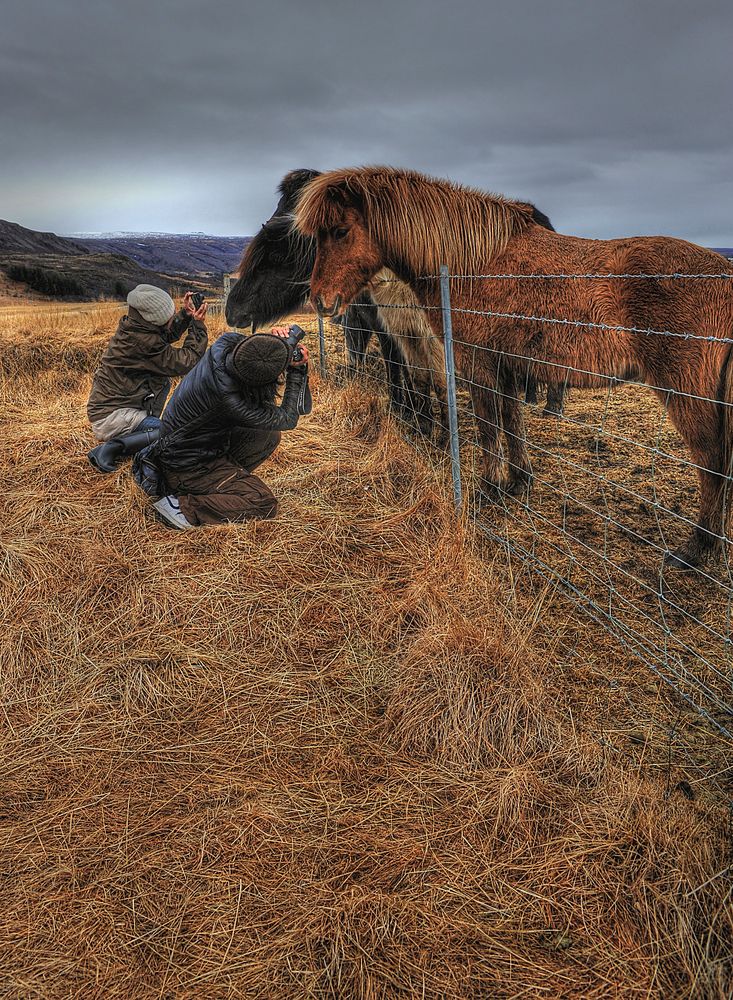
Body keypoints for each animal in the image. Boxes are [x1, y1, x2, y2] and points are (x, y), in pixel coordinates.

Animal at [294, 168, 732, 568]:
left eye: (340, 231)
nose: (320, 300)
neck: (472, 261)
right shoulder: (506, 366)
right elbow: (511, 419)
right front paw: (519, 480)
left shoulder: (477, 364)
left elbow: (489, 425)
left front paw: (489, 488)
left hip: (687, 393)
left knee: (712, 462)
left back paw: (697, 548)